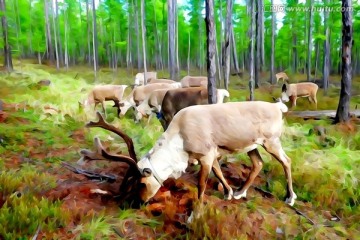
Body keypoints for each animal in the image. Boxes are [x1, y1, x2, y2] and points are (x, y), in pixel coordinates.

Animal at [80, 101, 296, 221]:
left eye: (141, 183)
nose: (135, 204)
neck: (180, 140)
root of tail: (277, 106)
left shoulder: (206, 155)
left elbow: (201, 185)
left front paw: (195, 215)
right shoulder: (211, 154)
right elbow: (218, 172)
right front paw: (228, 193)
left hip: (271, 141)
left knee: (286, 161)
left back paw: (290, 197)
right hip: (251, 145)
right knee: (258, 163)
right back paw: (240, 192)